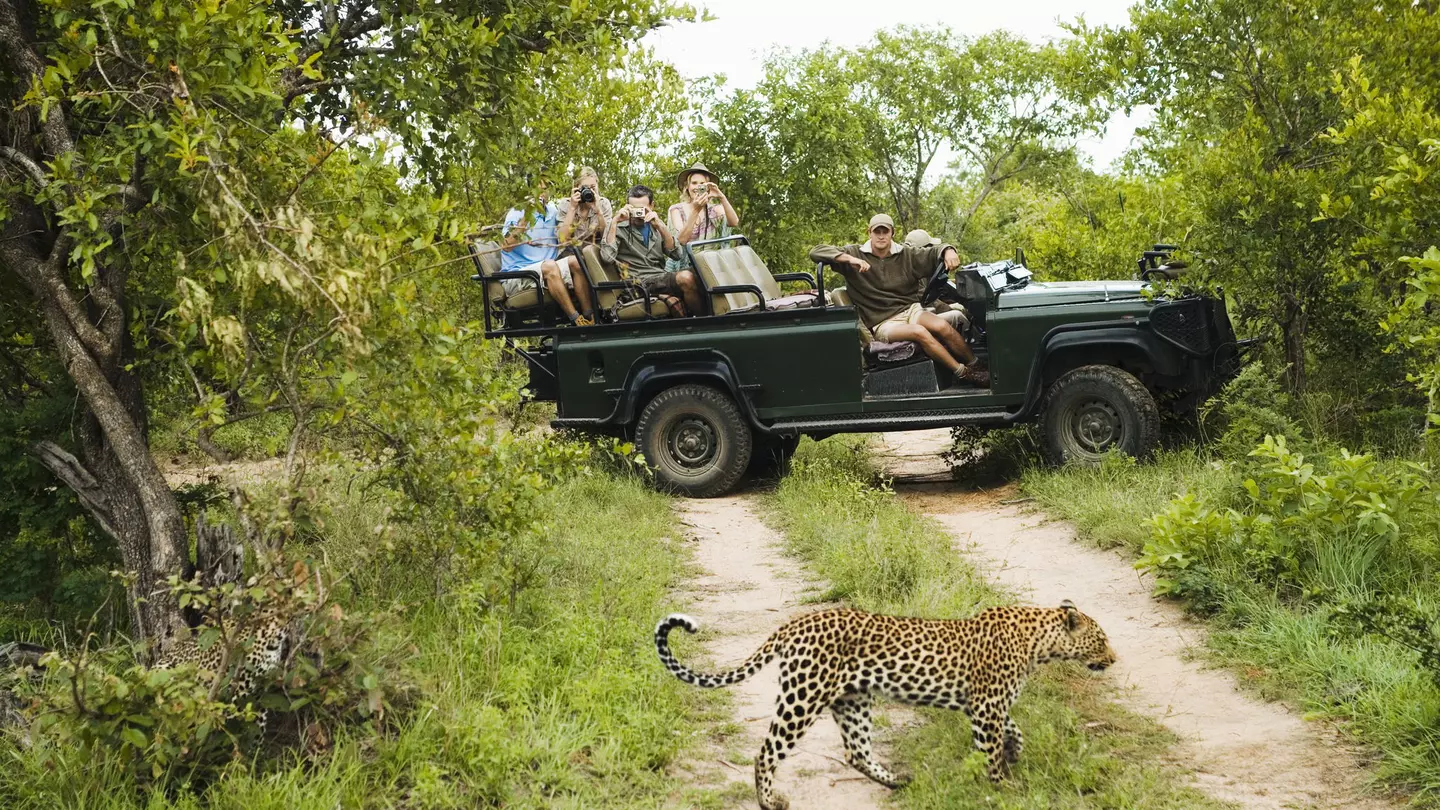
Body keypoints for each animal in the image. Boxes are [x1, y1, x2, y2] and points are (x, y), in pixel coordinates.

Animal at [655, 600, 1116, 810]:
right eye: (1102, 640)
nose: (1113, 659)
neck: (1040, 642)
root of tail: (793, 623)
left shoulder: (985, 706)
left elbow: (1013, 728)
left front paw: (1015, 752)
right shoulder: (986, 706)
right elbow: (992, 751)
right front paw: (1005, 786)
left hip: (852, 700)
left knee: (856, 751)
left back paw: (897, 781)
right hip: (803, 696)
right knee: (767, 752)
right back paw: (770, 801)